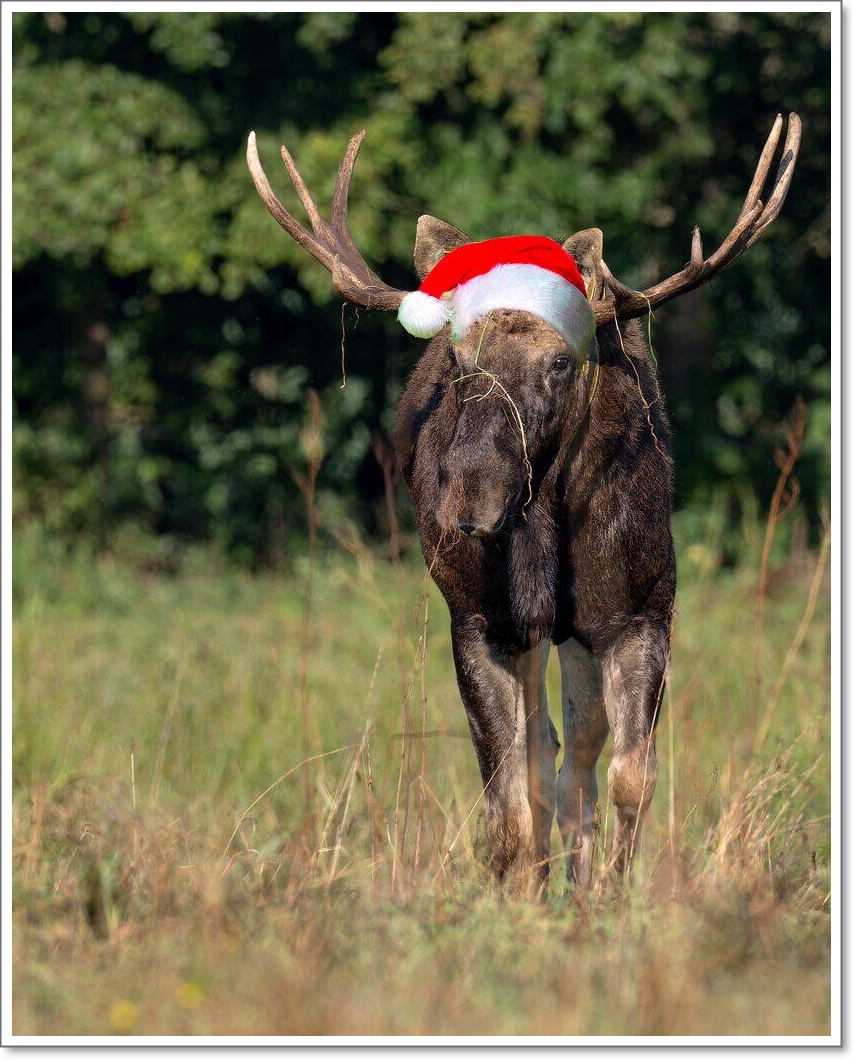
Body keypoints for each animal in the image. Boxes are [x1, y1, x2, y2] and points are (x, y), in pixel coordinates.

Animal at [245, 111, 800, 890]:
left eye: (561, 362)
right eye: (455, 358)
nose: (468, 494)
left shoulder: (642, 611)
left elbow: (629, 777)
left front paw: (606, 891)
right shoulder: (481, 621)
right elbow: (507, 800)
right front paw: (518, 893)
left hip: (578, 633)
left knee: (578, 754)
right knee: (541, 755)